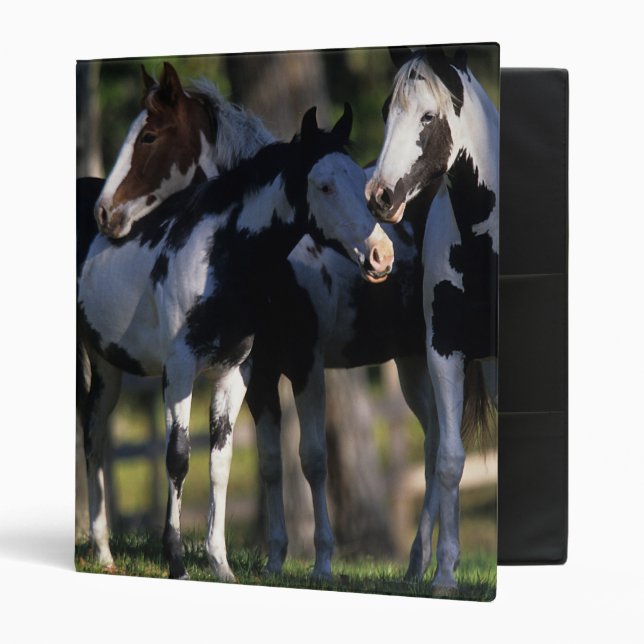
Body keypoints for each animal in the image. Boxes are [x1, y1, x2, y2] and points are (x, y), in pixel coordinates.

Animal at [78, 103, 394, 581]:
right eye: (324, 185)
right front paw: (177, 562)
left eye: (362, 180)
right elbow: (178, 457)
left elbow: (221, 463)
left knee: (94, 434)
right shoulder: (180, 369)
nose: (381, 255)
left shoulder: (235, 373)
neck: (218, 257)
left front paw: (220, 563)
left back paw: (103, 553)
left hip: (107, 366)